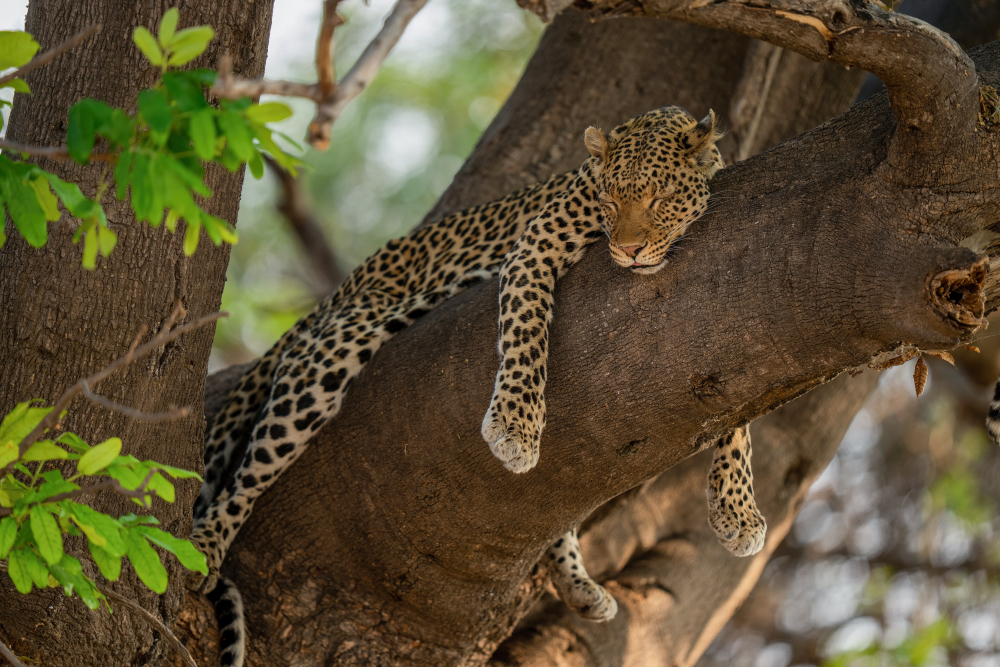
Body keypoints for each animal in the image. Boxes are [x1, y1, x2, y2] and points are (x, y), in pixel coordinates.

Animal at [193, 105, 764, 667]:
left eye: (660, 198)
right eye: (609, 200)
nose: (629, 251)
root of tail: (348, 283)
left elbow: (740, 402)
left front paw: (738, 510)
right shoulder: (535, 247)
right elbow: (526, 332)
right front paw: (515, 426)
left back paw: (579, 585)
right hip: (336, 349)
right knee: (247, 475)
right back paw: (206, 541)